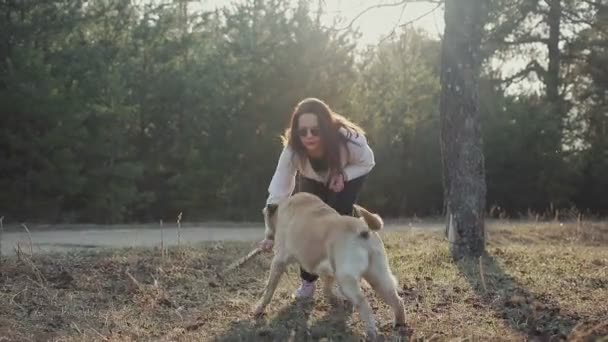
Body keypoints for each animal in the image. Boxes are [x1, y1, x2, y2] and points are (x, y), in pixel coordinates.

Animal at [254, 192, 406, 340]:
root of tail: (363, 229)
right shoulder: (328, 272)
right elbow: (327, 289)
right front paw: (335, 301)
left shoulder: (278, 261)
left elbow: (269, 290)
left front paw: (259, 309)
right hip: (378, 277)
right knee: (397, 300)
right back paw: (399, 324)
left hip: (347, 280)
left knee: (364, 305)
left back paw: (370, 333)